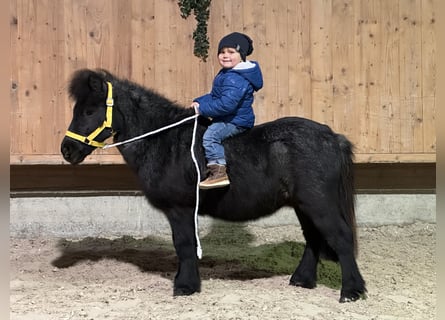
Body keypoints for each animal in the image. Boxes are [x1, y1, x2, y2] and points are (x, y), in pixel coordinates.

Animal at [59, 68, 364, 302]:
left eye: (89, 110)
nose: (66, 149)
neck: (165, 142)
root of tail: (332, 137)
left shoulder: (180, 209)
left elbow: (184, 245)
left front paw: (185, 286)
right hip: (303, 205)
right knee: (313, 239)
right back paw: (302, 279)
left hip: (319, 203)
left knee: (340, 238)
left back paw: (352, 291)